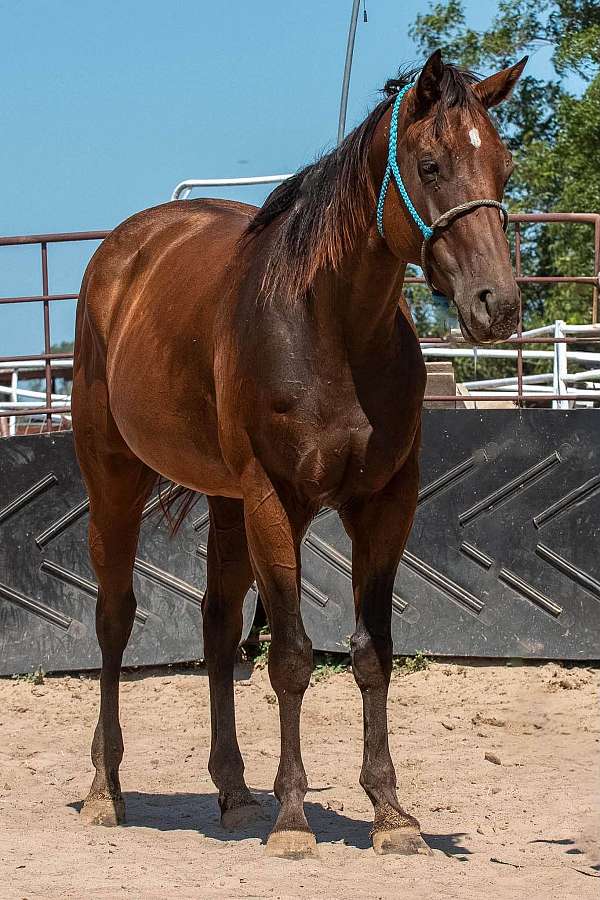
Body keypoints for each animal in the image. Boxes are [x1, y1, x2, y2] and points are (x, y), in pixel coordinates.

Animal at [72, 50, 527, 858]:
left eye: (503, 167)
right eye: (432, 164)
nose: (496, 305)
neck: (330, 328)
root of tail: (125, 250)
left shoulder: (384, 505)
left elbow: (372, 652)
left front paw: (390, 812)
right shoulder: (273, 500)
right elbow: (290, 656)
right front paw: (292, 818)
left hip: (223, 503)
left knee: (218, 628)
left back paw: (231, 791)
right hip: (116, 481)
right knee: (115, 619)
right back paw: (105, 789)